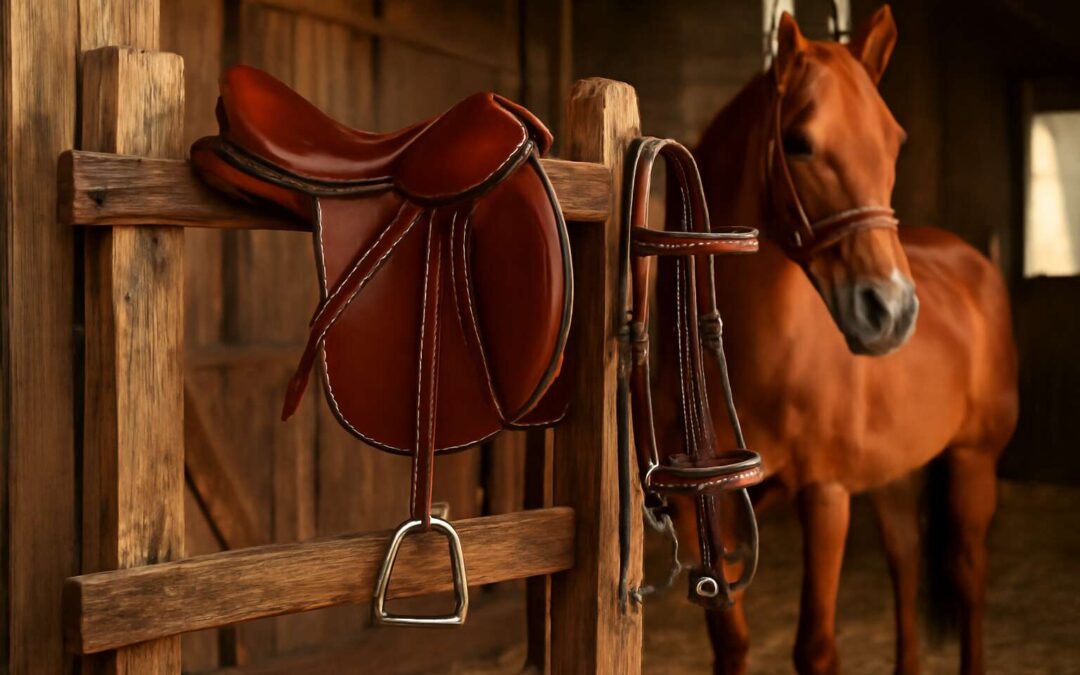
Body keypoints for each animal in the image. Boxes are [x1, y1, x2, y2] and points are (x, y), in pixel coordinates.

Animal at [656, 7, 1019, 675]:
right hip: (893, 472)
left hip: (973, 463)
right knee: (906, 559)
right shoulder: (705, 513)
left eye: (894, 141)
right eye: (799, 142)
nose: (892, 311)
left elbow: (816, 647)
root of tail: (969, 258)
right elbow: (731, 643)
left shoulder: (826, 497)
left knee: (968, 576)